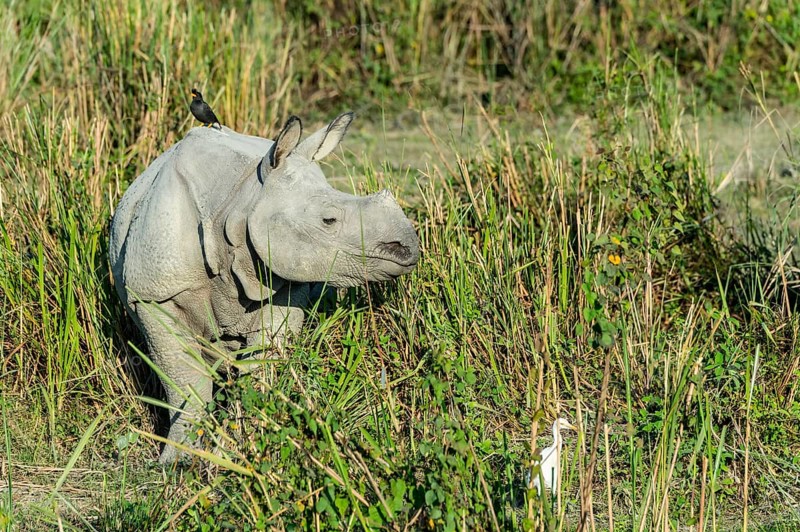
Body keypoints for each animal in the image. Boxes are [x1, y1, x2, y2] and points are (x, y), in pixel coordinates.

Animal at [109, 112, 420, 463]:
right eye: (328, 220)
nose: (407, 249)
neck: (239, 202)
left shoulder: (286, 279)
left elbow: (263, 363)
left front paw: (249, 444)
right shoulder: (154, 296)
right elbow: (184, 379)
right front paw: (179, 460)